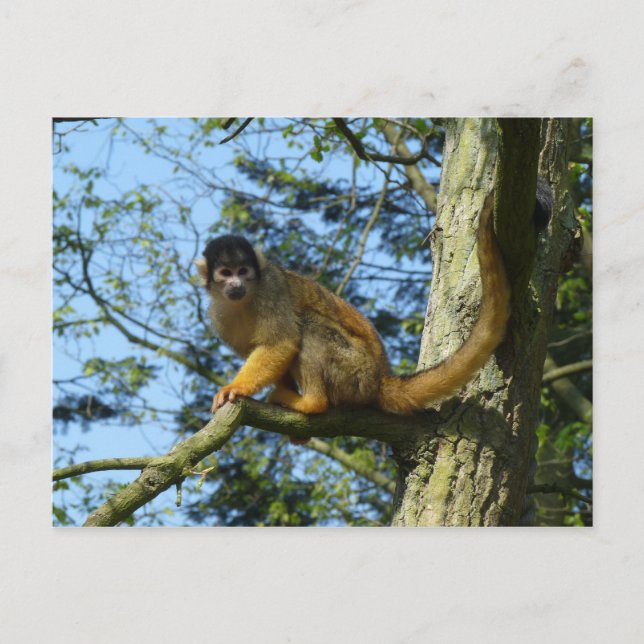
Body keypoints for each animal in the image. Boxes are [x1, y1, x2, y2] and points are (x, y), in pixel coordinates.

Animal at [195, 189, 519, 418]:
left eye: (243, 271)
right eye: (225, 274)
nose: (235, 285)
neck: (245, 300)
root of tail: (379, 379)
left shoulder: (271, 288)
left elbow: (281, 343)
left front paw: (235, 387)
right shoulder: (218, 316)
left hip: (355, 373)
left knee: (309, 326)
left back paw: (312, 403)